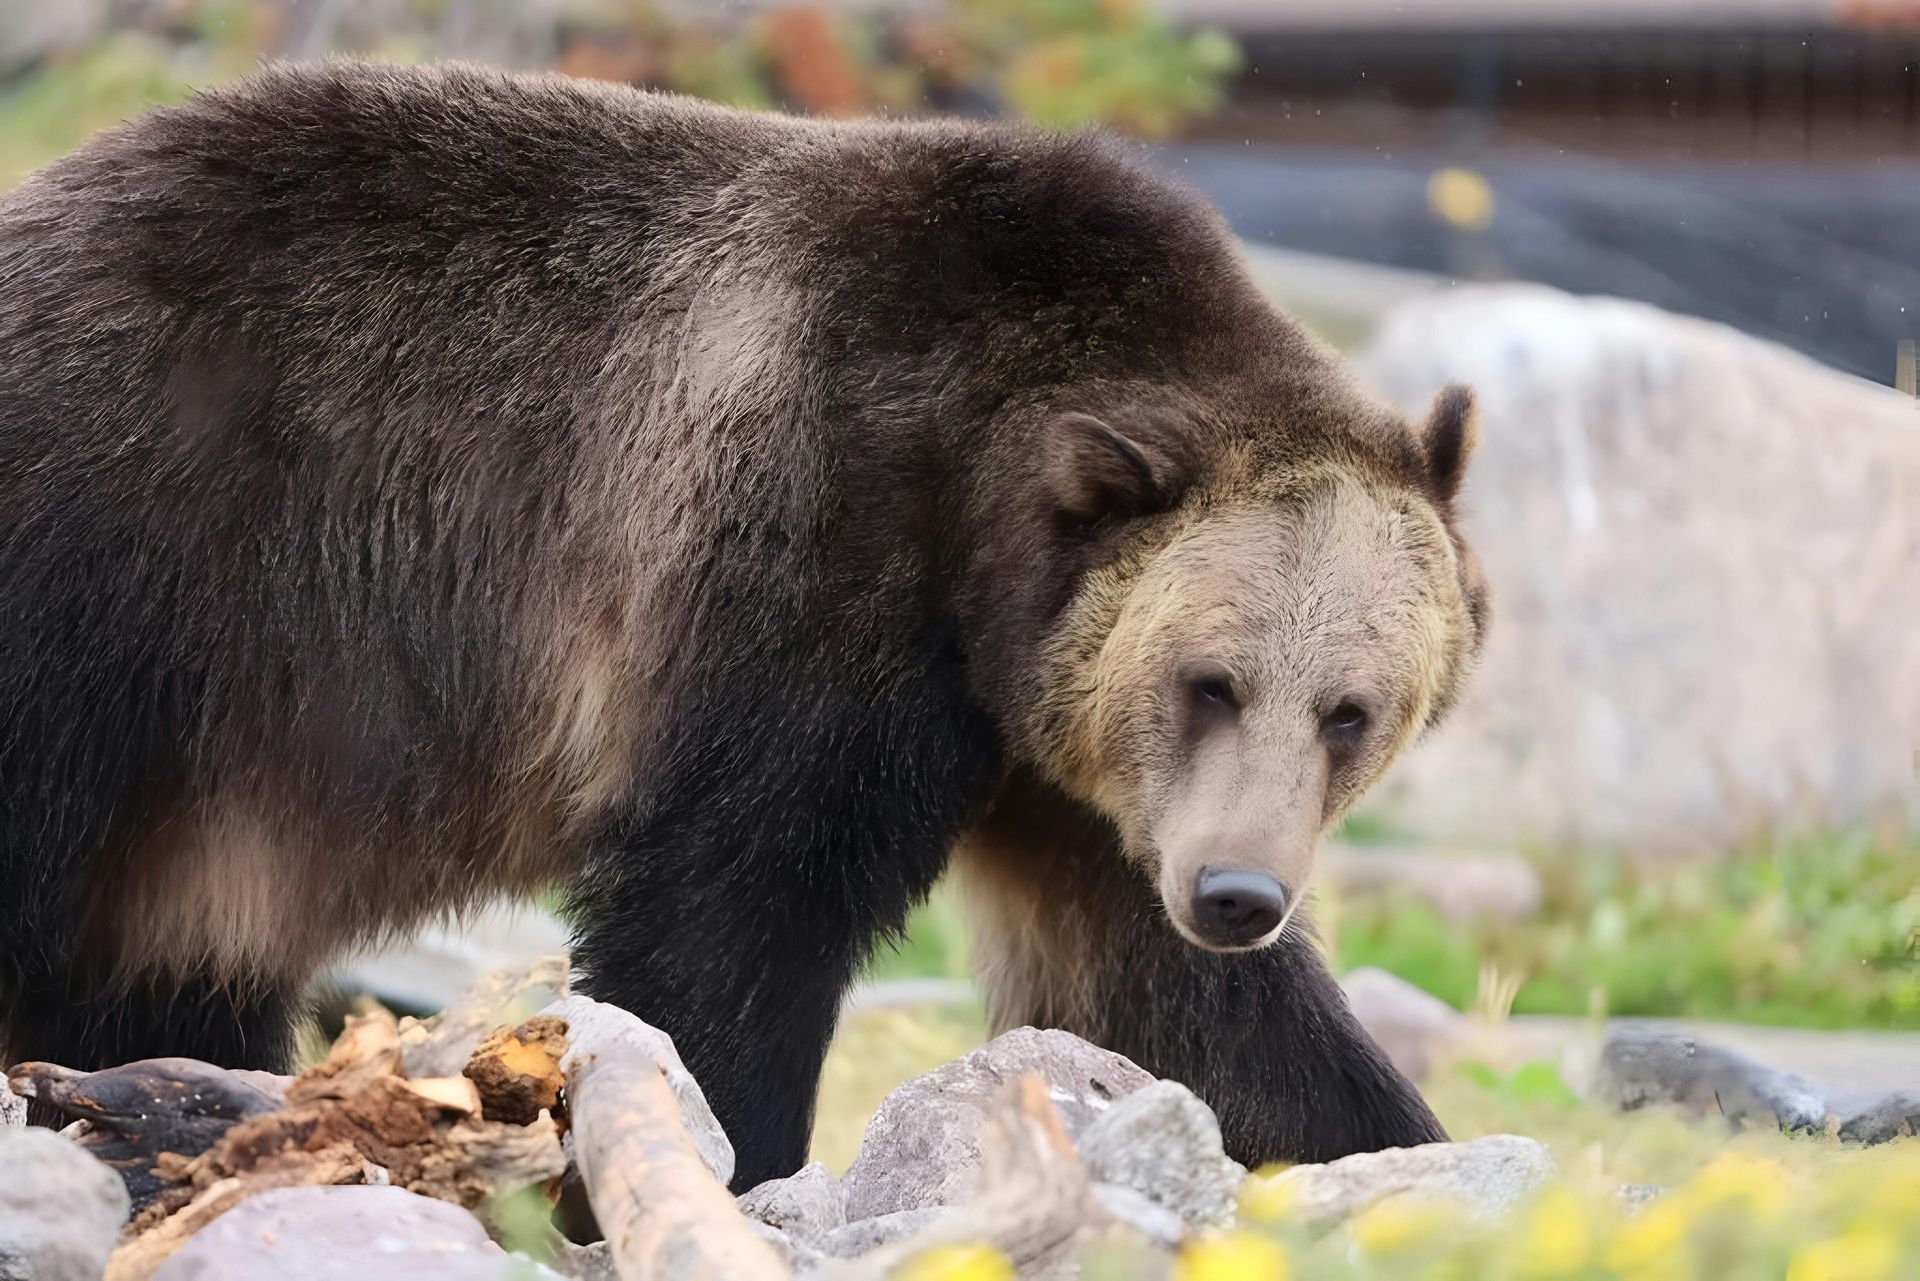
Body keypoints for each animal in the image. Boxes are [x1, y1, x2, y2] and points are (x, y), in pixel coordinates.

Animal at [0, 60, 1487, 1189]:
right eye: (1210, 680)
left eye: (1351, 712)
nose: (1240, 894)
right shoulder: (818, 534)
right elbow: (735, 905)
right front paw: (721, 1156)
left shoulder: (1064, 759)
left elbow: (1175, 1003)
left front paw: (1381, 1146)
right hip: (144, 567)